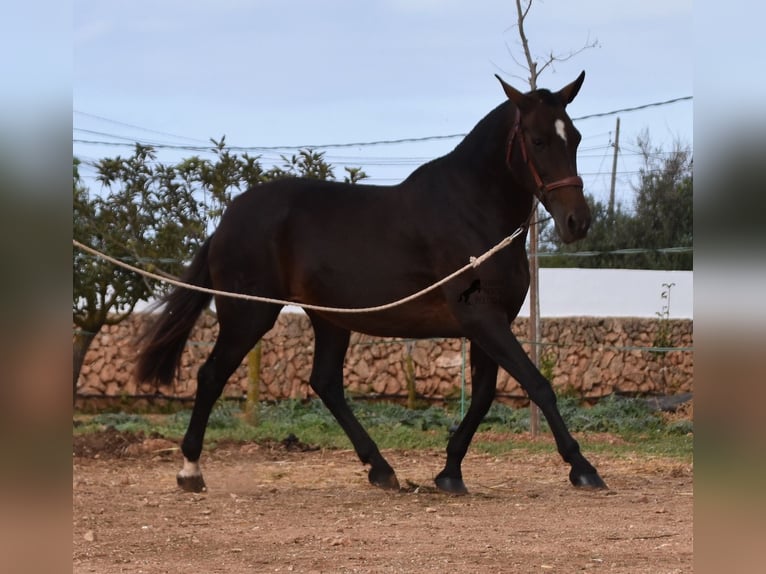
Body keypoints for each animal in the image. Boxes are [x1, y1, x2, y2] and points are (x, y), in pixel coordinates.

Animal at [135, 72, 608, 496]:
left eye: (576, 138)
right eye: (538, 140)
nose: (577, 222)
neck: (473, 211)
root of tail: (226, 221)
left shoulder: (490, 323)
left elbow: (484, 395)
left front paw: (450, 473)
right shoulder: (482, 319)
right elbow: (537, 385)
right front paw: (583, 468)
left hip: (329, 319)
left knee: (325, 383)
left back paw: (381, 469)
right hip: (248, 314)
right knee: (211, 375)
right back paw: (190, 471)